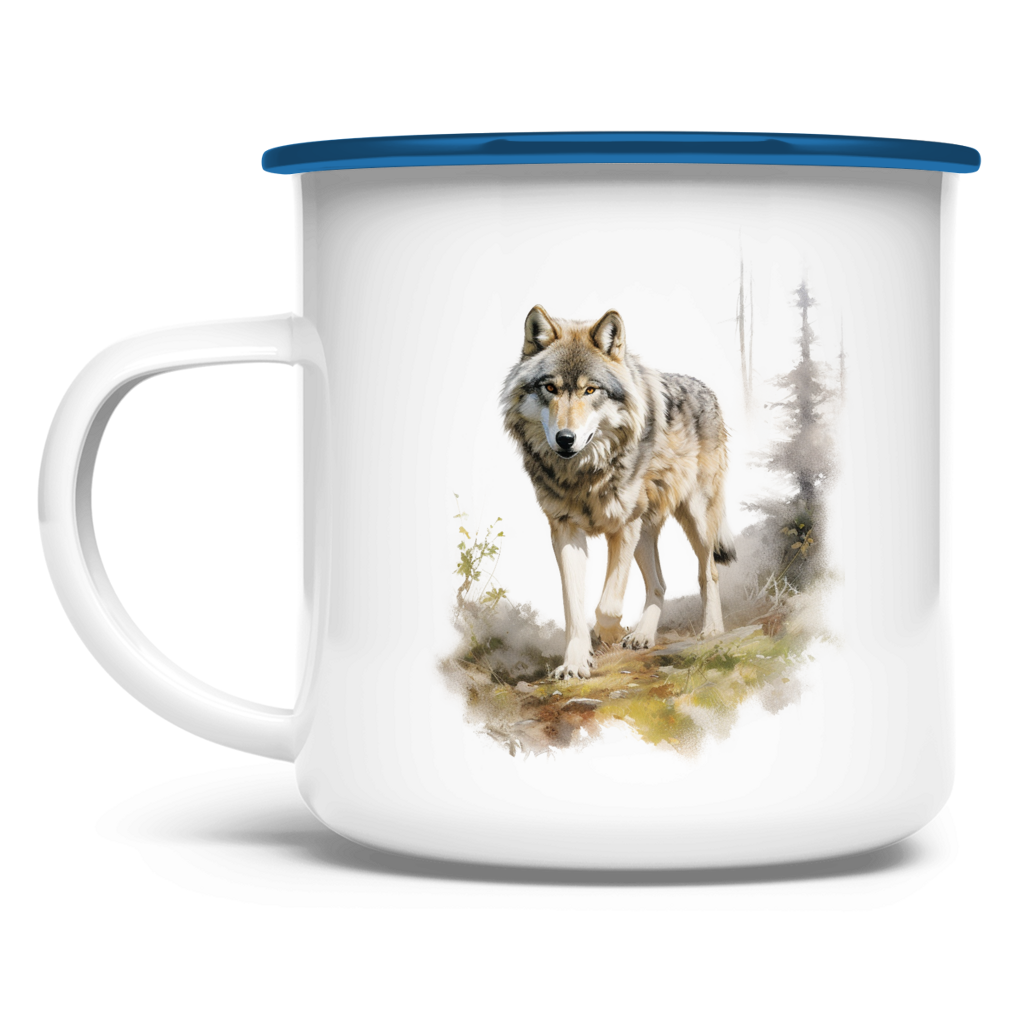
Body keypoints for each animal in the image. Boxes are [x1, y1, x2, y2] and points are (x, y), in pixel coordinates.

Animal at [496, 304, 738, 680]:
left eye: (590, 391)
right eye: (550, 387)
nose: (565, 439)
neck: (583, 475)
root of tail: (709, 389)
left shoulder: (622, 526)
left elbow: (607, 605)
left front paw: (607, 633)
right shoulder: (566, 530)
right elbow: (574, 609)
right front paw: (575, 663)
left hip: (692, 519)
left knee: (707, 572)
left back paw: (711, 630)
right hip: (645, 533)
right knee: (660, 585)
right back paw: (642, 636)